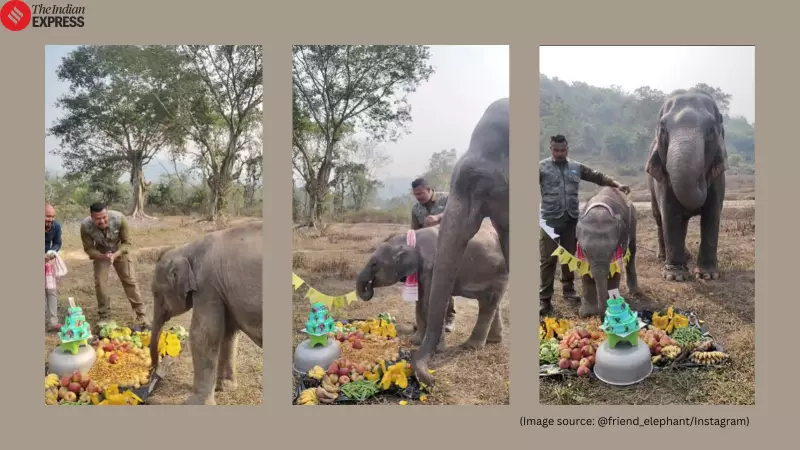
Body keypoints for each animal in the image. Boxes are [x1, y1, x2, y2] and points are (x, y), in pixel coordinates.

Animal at [149, 220, 263, 405]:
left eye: (155, 293)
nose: (154, 371)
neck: (187, 248)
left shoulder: (207, 284)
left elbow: (202, 335)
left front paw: (193, 404)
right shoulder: (222, 289)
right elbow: (228, 333)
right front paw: (224, 387)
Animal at [355, 221, 508, 351]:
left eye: (374, 264)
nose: (369, 287)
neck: (408, 240)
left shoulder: (432, 268)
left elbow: (429, 302)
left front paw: (436, 349)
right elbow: (419, 301)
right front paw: (415, 342)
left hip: (498, 273)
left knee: (488, 303)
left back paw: (470, 347)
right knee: (492, 302)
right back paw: (494, 340)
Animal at [575, 186, 639, 317]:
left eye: (613, 249)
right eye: (584, 250)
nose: (602, 315)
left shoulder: (621, 239)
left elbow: (615, 267)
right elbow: (584, 268)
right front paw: (586, 313)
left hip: (634, 222)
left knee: (631, 253)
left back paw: (634, 292)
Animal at [645, 89, 728, 281]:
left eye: (711, 130)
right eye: (663, 129)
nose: (702, 178)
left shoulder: (719, 179)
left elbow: (712, 213)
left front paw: (708, 275)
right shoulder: (663, 180)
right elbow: (670, 214)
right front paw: (675, 276)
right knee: (659, 217)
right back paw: (663, 256)